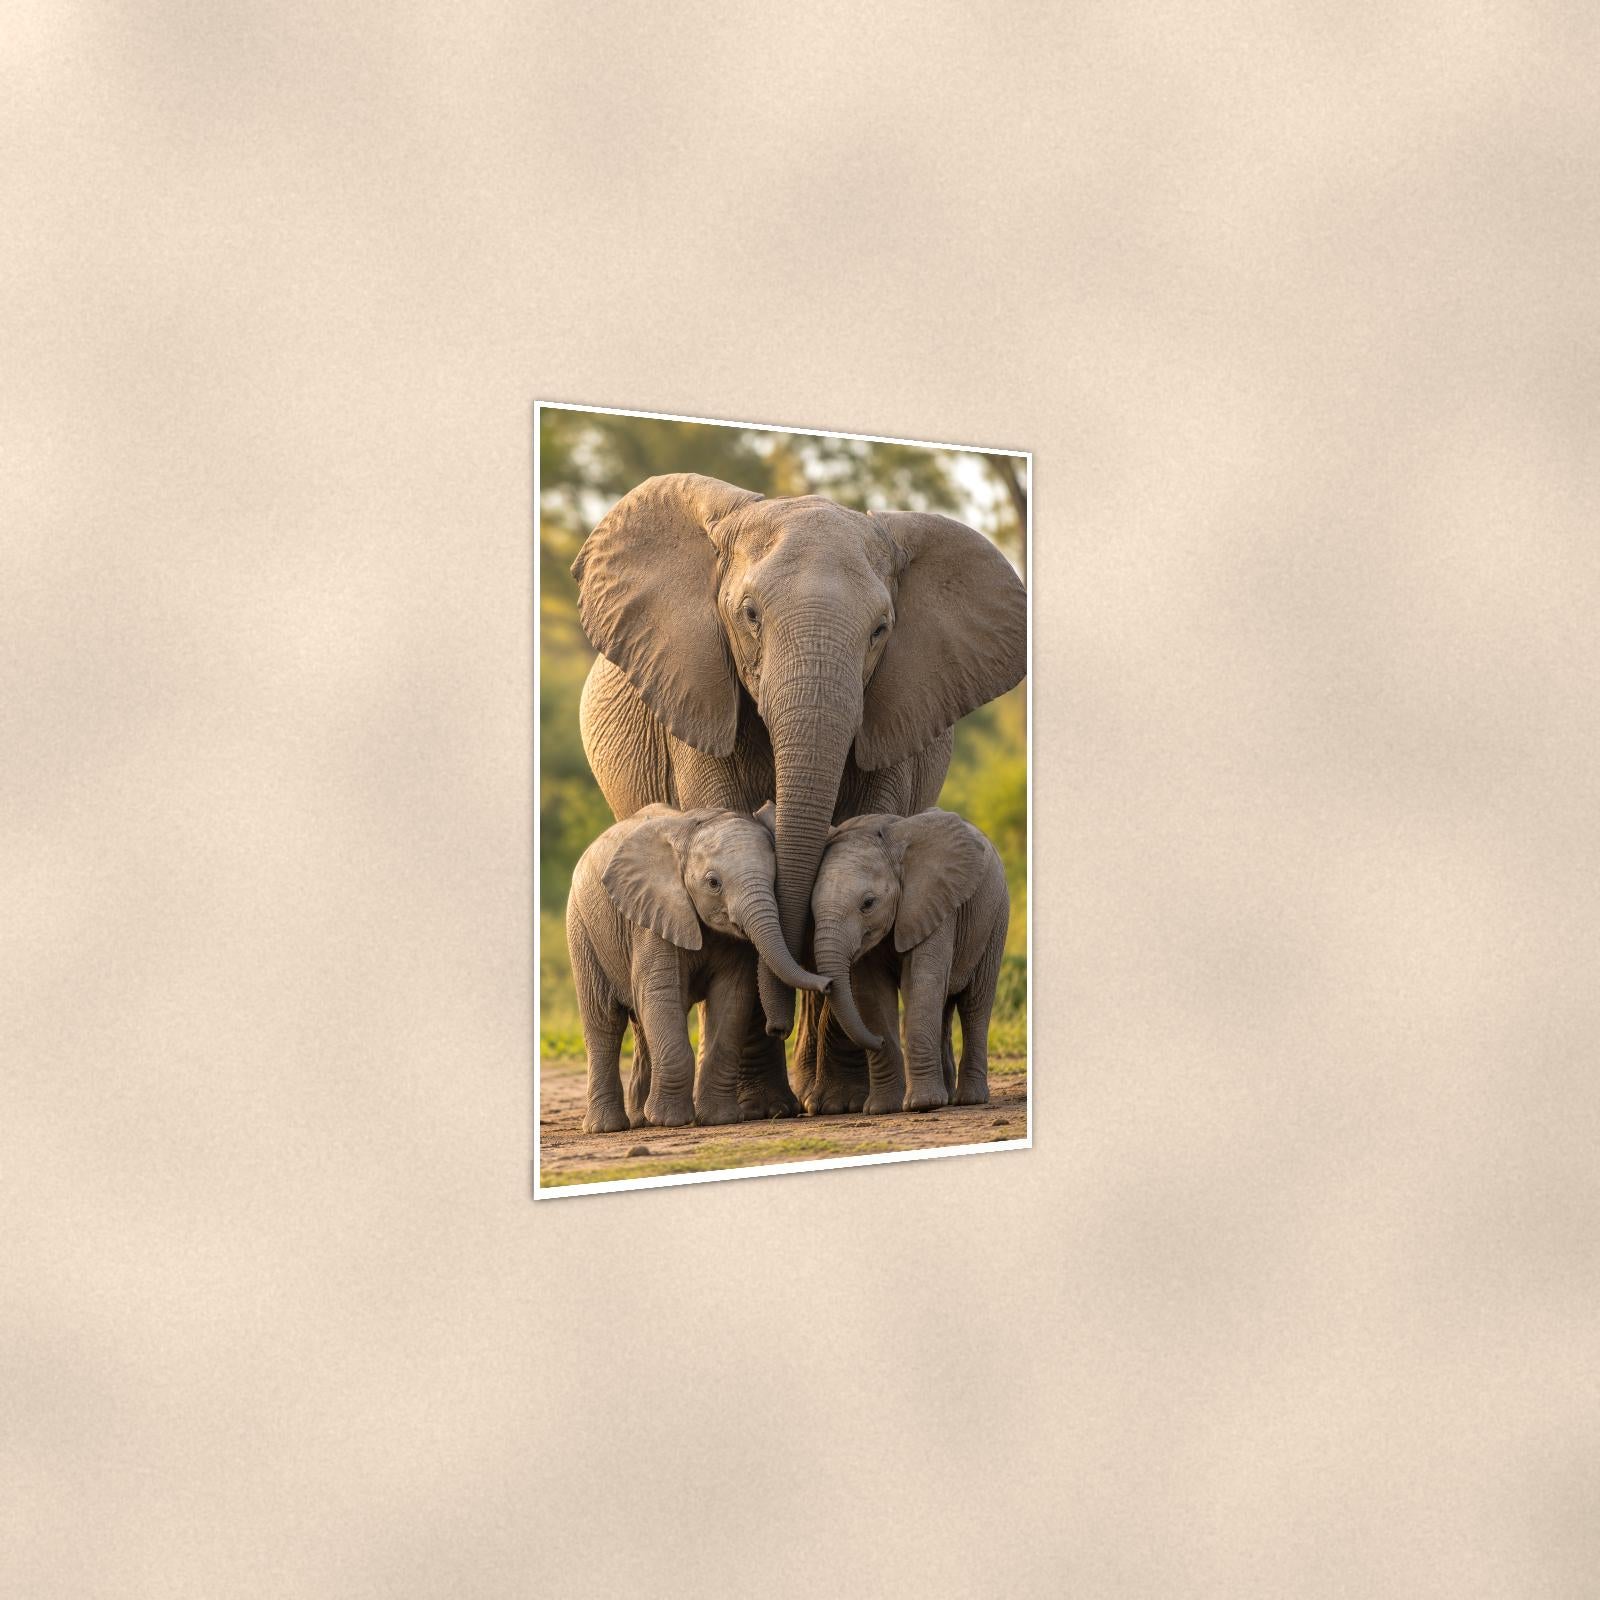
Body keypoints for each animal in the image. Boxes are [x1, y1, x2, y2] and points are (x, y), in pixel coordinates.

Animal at [564, 803, 826, 1131]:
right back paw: (608, 1127)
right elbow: (661, 994)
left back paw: (641, 1120)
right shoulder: (653, 916)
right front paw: (670, 1121)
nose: (777, 1029)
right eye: (713, 883)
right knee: (604, 1022)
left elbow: (732, 999)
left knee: (640, 1024)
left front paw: (720, 1119)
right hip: (582, 929)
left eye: (775, 877)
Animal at [807, 809, 1009, 1114]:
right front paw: (882, 1109)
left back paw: (969, 1099)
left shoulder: (933, 904)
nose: (876, 1041)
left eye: (868, 903)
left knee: (975, 1004)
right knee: (945, 1007)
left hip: (995, 917)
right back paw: (948, 1096)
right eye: (810, 908)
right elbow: (871, 995)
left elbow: (920, 983)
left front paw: (922, 1104)